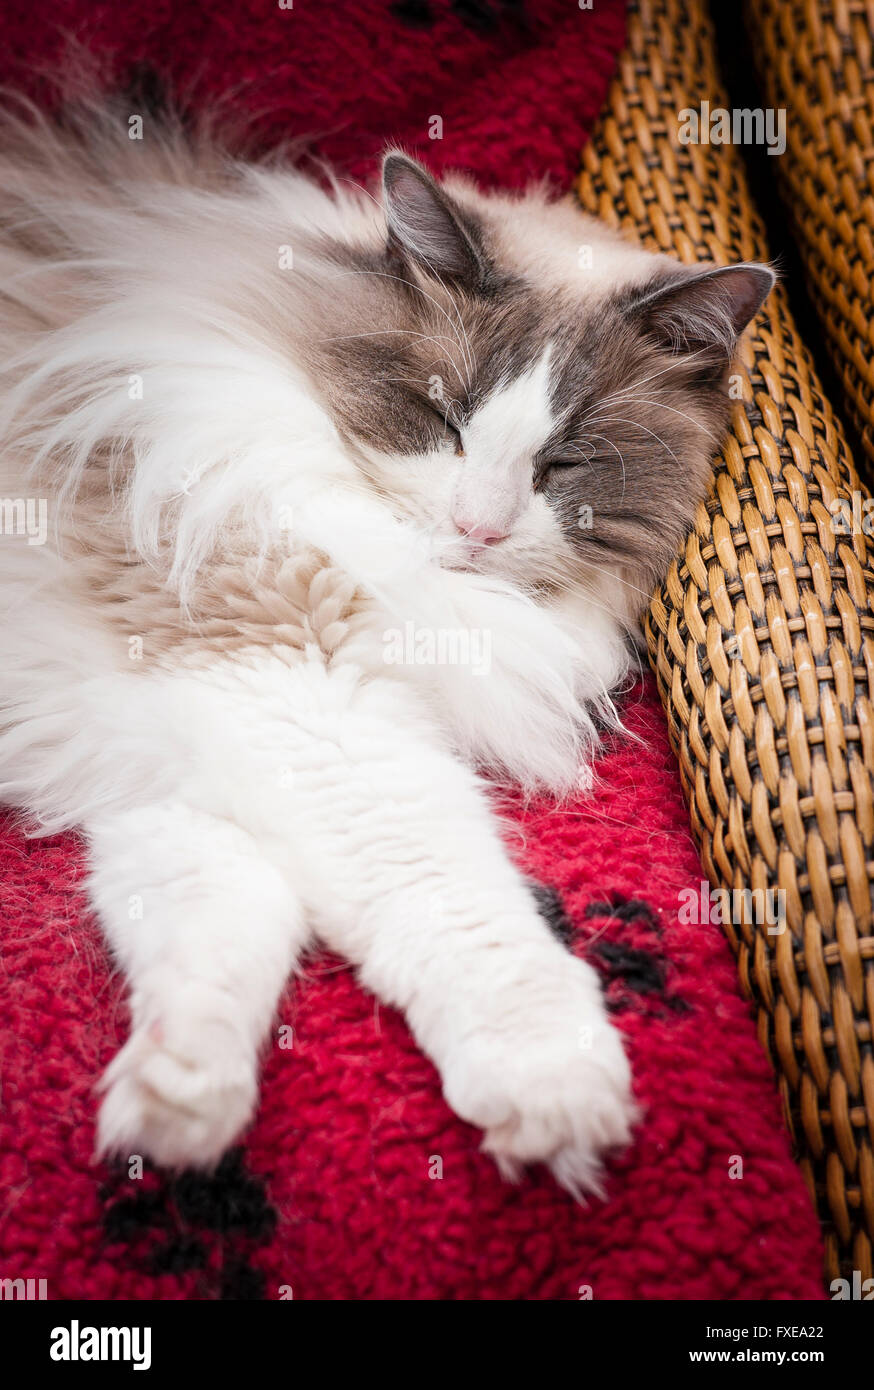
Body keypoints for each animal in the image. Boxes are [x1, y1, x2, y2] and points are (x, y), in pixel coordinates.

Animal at [0, 100, 778, 1195]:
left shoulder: (173, 720)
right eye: (440, 419)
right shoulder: (281, 678)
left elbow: (215, 910)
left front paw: (176, 1109)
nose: (479, 529)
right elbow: (444, 896)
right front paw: (556, 1088)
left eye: (563, 464)